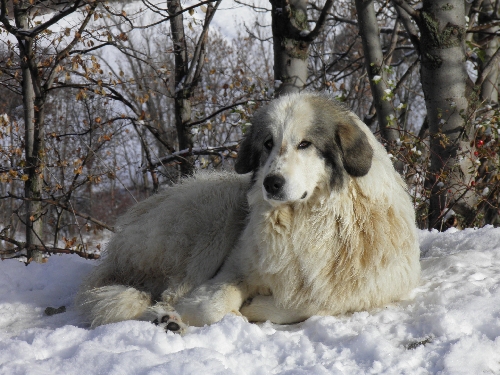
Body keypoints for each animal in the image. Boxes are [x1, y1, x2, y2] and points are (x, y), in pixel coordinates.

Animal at [77, 92, 422, 334]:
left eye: (305, 144)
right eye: (268, 143)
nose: (272, 183)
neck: (305, 220)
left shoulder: (357, 292)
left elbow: (306, 303)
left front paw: (258, 306)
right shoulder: (234, 269)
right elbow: (209, 306)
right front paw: (233, 311)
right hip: (218, 215)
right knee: (168, 293)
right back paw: (164, 318)